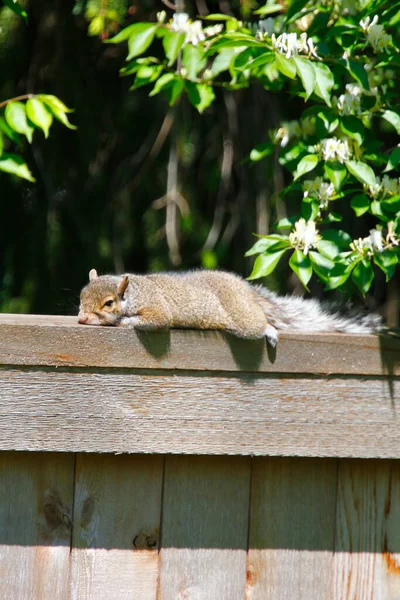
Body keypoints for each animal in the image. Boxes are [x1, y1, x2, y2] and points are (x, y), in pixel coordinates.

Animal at [77, 268, 382, 346]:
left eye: (109, 303)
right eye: (80, 297)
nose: (81, 319)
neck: (133, 293)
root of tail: (245, 290)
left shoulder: (155, 306)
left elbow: (157, 320)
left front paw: (121, 322)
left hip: (244, 320)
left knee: (258, 322)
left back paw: (269, 330)